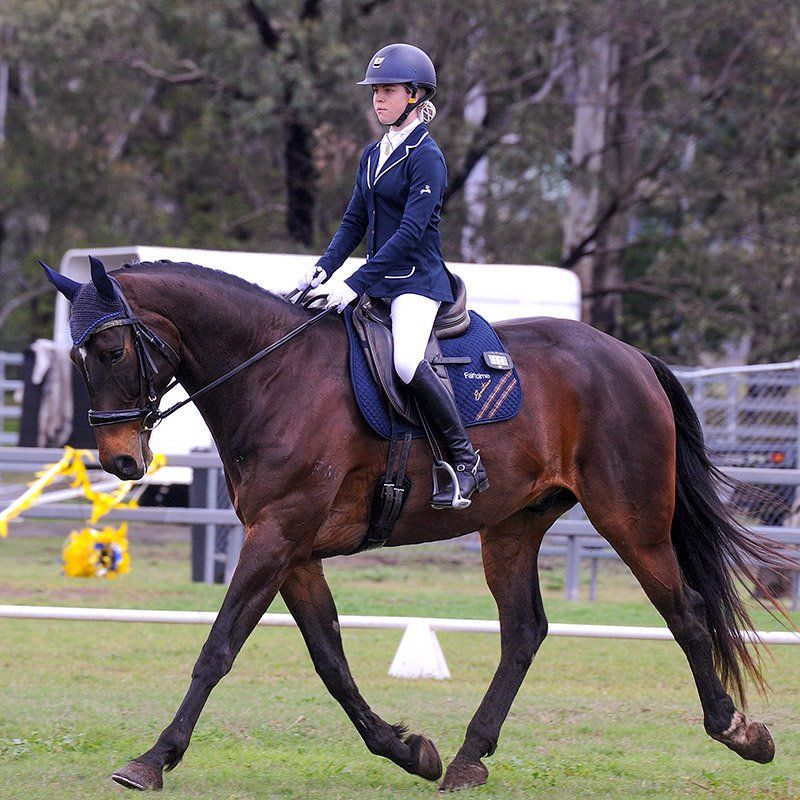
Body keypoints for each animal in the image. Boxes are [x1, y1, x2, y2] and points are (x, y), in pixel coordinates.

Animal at [43, 260, 780, 792]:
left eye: (112, 350)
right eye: (78, 357)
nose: (120, 461)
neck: (275, 376)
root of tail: (630, 356)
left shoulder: (275, 538)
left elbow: (218, 649)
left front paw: (152, 759)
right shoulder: (293, 551)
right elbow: (331, 661)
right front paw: (406, 750)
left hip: (631, 518)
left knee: (684, 611)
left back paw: (739, 732)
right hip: (512, 528)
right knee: (524, 632)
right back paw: (466, 760)